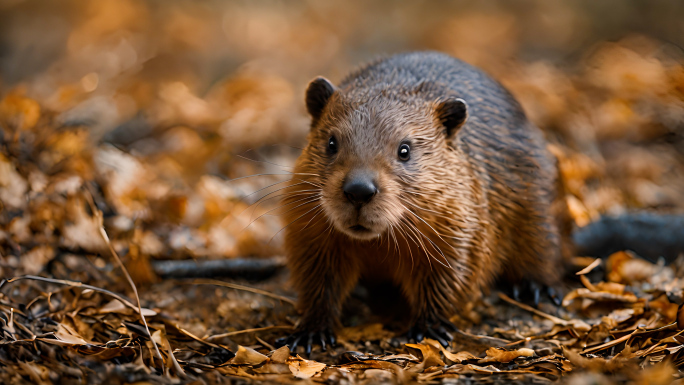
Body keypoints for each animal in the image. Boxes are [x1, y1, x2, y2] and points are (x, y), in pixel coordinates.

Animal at [276, 51, 572, 352]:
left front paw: (428, 328)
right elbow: (318, 281)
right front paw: (309, 332)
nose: (359, 191)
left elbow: (449, 278)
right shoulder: (312, 233)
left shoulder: (459, 228)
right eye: (331, 143)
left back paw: (535, 288)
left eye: (405, 150)